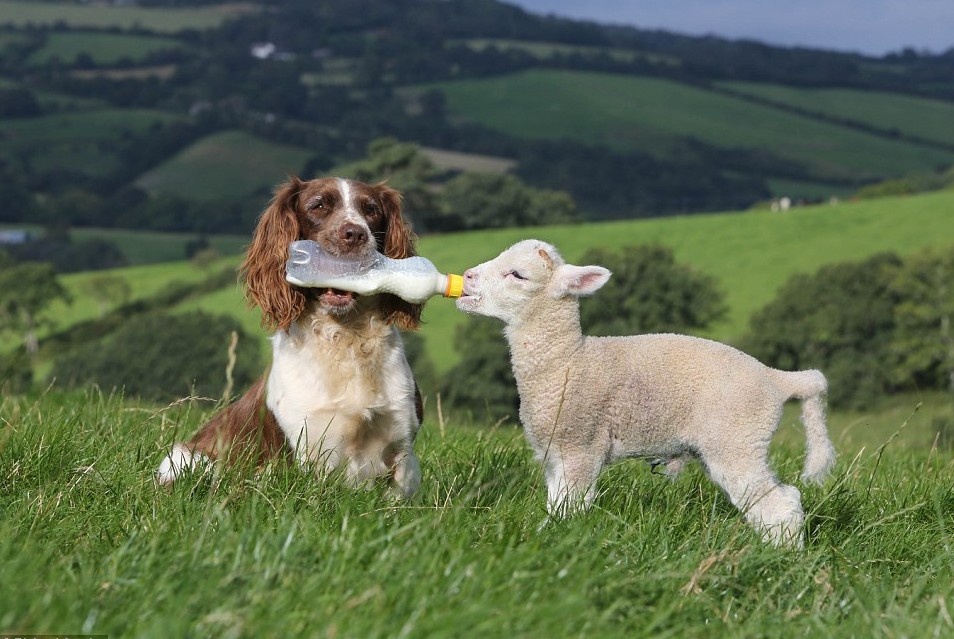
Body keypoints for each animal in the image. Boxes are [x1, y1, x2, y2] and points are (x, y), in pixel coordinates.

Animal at [155, 176, 420, 500]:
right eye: (318, 205)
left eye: (371, 210)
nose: (355, 234)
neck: (344, 337)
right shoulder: (308, 450)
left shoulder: (401, 444)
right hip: (189, 459)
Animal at [454, 240, 832, 552]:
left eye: (517, 274)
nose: (468, 276)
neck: (569, 361)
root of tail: (777, 379)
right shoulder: (555, 452)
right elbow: (556, 502)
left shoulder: (580, 445)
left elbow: (570, 506)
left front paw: (556, 541)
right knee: (783, 499)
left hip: (737, 438)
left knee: (779, 505)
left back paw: (783, 559)